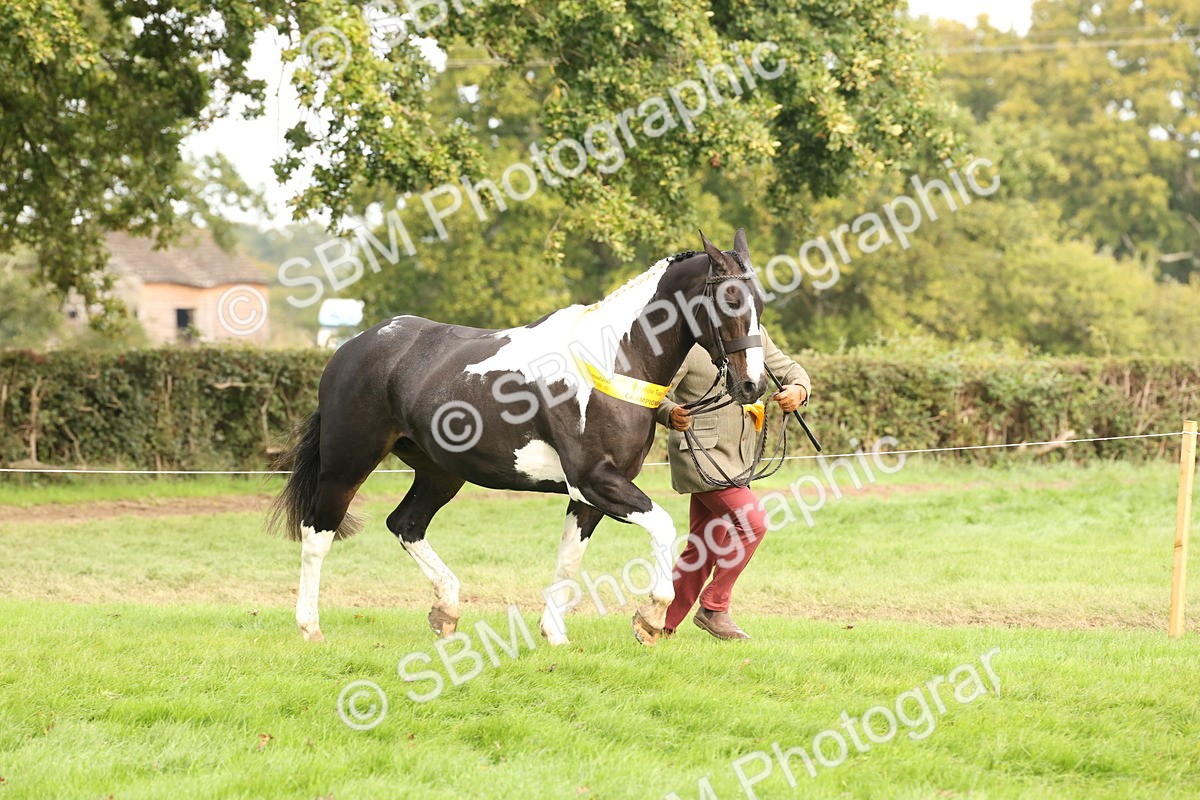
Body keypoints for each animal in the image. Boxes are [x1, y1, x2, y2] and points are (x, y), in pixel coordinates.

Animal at [268, 230, 769, 647]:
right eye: (728, 300)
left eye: (759, 303)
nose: (752, 386)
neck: (614, 358)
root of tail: (351, 347)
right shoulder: (597, 481)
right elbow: (662, 526)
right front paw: (649, 618)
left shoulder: (588, 495)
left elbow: (568, 559)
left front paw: (555, 635)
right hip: (347, 463)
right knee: (317, 533)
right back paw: (310, 627)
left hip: (440, 473)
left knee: (406, 524)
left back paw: (446, 609)